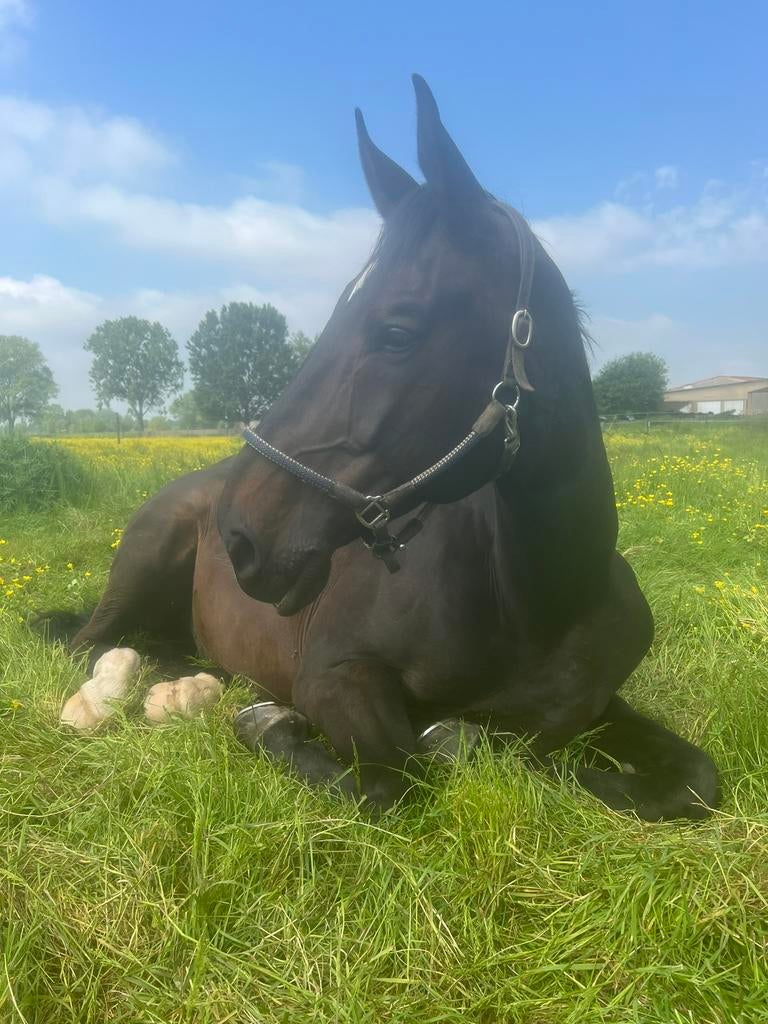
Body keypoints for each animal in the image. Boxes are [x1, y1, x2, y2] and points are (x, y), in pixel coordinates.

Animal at [56, 76, 718, 820]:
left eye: (397, 331)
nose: (240, 537)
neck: (537, 603)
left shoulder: (599, 708)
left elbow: (689, 779)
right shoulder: (335, 677)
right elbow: (393, 781)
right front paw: (269, 723)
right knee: (94, 644)